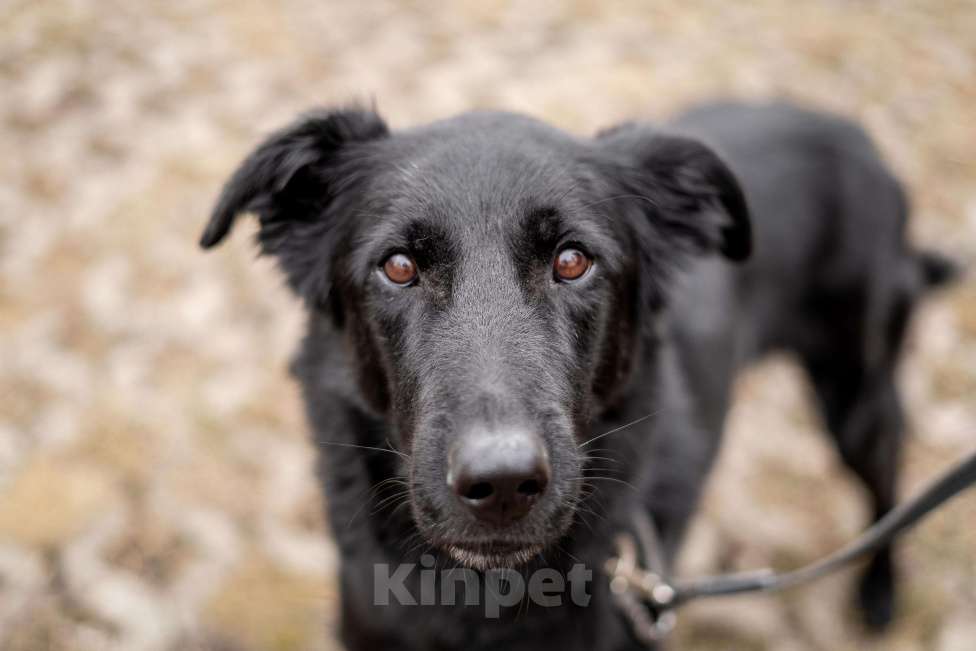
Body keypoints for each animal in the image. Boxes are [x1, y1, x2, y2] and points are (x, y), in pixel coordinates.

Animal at [198, 99, 952, 648]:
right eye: (399, 266)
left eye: (572, 260)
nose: (502, 483)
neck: (488, 599)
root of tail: (854, 135)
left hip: (856, 396)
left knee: (887, 483)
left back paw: (880, 592)